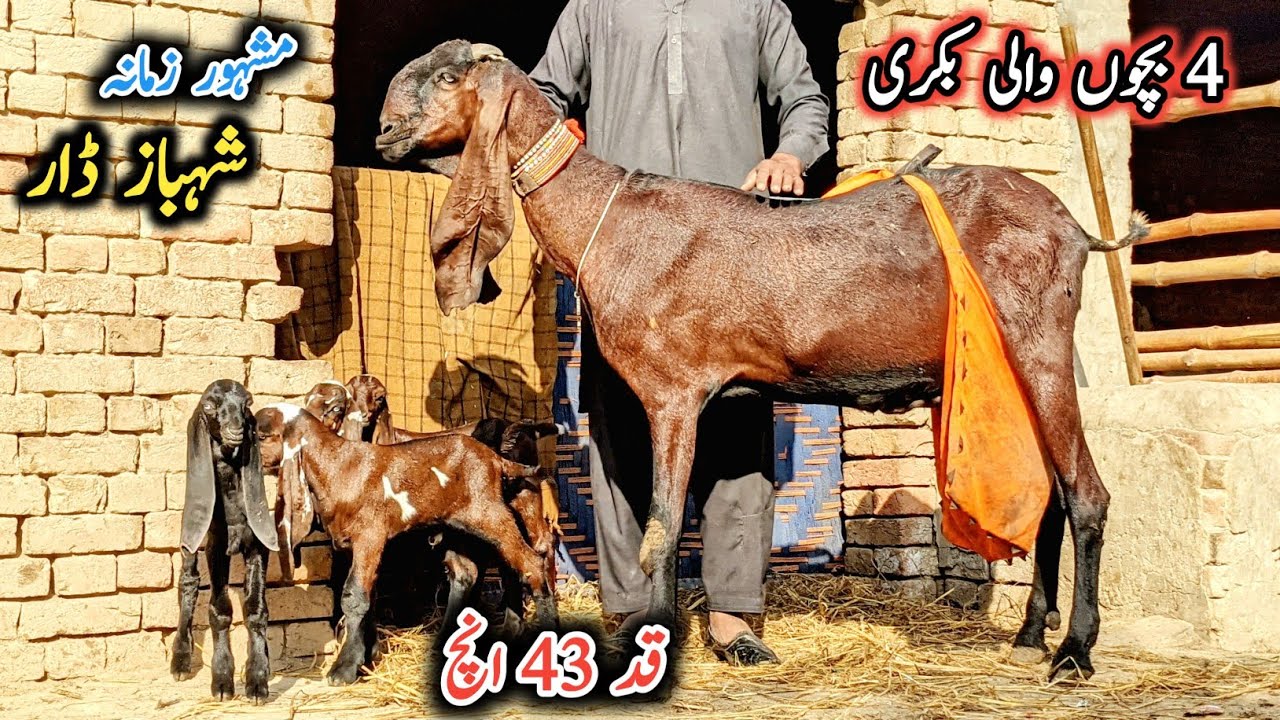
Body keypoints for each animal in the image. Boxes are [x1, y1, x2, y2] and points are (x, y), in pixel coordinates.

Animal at [172, 380, 279, 704]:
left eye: (248, 402)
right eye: (209, 405)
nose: (236, 430)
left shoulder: (257, 545)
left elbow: (256, 608)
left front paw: (258, 681)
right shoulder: (215, 546)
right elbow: (220, 610)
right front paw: (221, 681)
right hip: (192, 532)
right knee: (188, 580)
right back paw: (180, 660)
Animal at [256, 403, 558, 685]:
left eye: (260, 435)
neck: (339, 465)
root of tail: (496, 459)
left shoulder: (370, 534)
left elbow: (354, 596)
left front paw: (344, 669)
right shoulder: (359, 545)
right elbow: (369, 594)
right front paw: (368, 659)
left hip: (490, 512)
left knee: (532, 560)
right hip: (460, 525)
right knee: (469, 571)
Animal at [376, 40, 1153, 679]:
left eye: (447, 76)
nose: (383, 129)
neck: (609, 218)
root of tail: (1076, 230)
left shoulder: (675, 391)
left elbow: (662, 527)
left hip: (1038, 345)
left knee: (1086, 494)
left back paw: (1075, 652)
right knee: (1050, 495)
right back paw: (1029, 637)